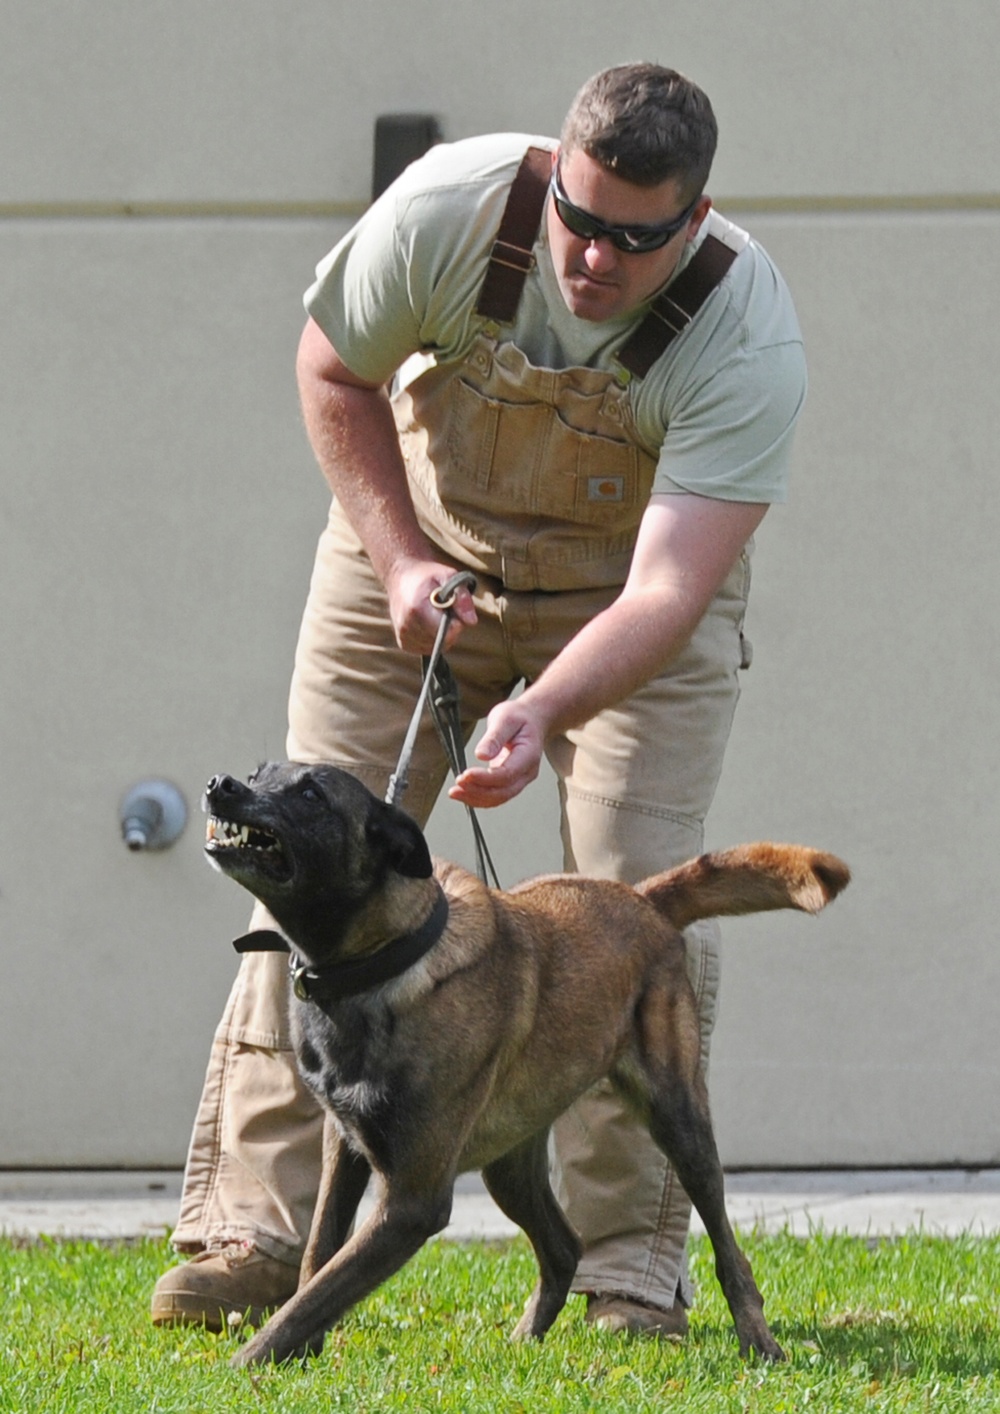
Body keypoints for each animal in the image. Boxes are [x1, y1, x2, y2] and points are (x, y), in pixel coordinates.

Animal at [205, 763, 854, 1368]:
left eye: (311, 793)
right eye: (261, 773)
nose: (221, 785)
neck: (382, 963)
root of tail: (642, 899)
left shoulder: (411, 1202)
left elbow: (320, 1291)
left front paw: (248, 1364)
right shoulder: (346, 1151)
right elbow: (317, 1262)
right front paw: (298, 1355)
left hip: (680, 1124)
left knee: (726, 1248)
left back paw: (760, 1342)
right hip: (509, 1162)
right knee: (564, 1247)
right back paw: (525, 1337)